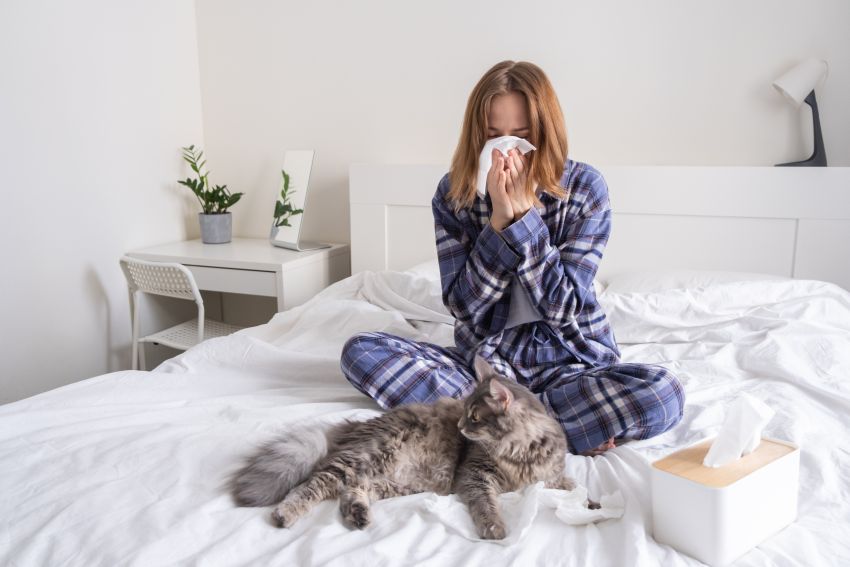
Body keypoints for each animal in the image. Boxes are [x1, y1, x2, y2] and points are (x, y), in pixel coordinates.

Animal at [229, 356, 592, 540]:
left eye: (475, 417)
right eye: (465, 413)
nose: (460, 428)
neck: (521, 452)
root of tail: (360, 425)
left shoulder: (551, 475)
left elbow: (574, 487)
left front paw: (592, 505)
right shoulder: (474, 475)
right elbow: (486, 505)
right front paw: (495, 528)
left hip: (398, 480)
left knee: (352, 490)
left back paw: (358, 514)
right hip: (369, 457)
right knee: (313, 485)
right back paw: (285, 514)